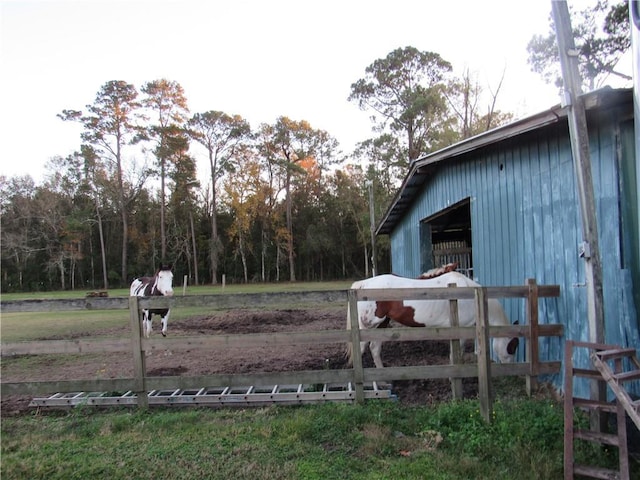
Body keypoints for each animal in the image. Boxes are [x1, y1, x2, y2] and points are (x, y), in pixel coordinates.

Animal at [344, 274, 520, 368]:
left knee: (374, 349)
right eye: (512, 347)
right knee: (361, 349)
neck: (469, 294)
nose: (511, 369)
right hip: (368, 326)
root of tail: (363, 284)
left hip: (381, 324)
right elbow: (457, 354)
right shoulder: (460, 331)